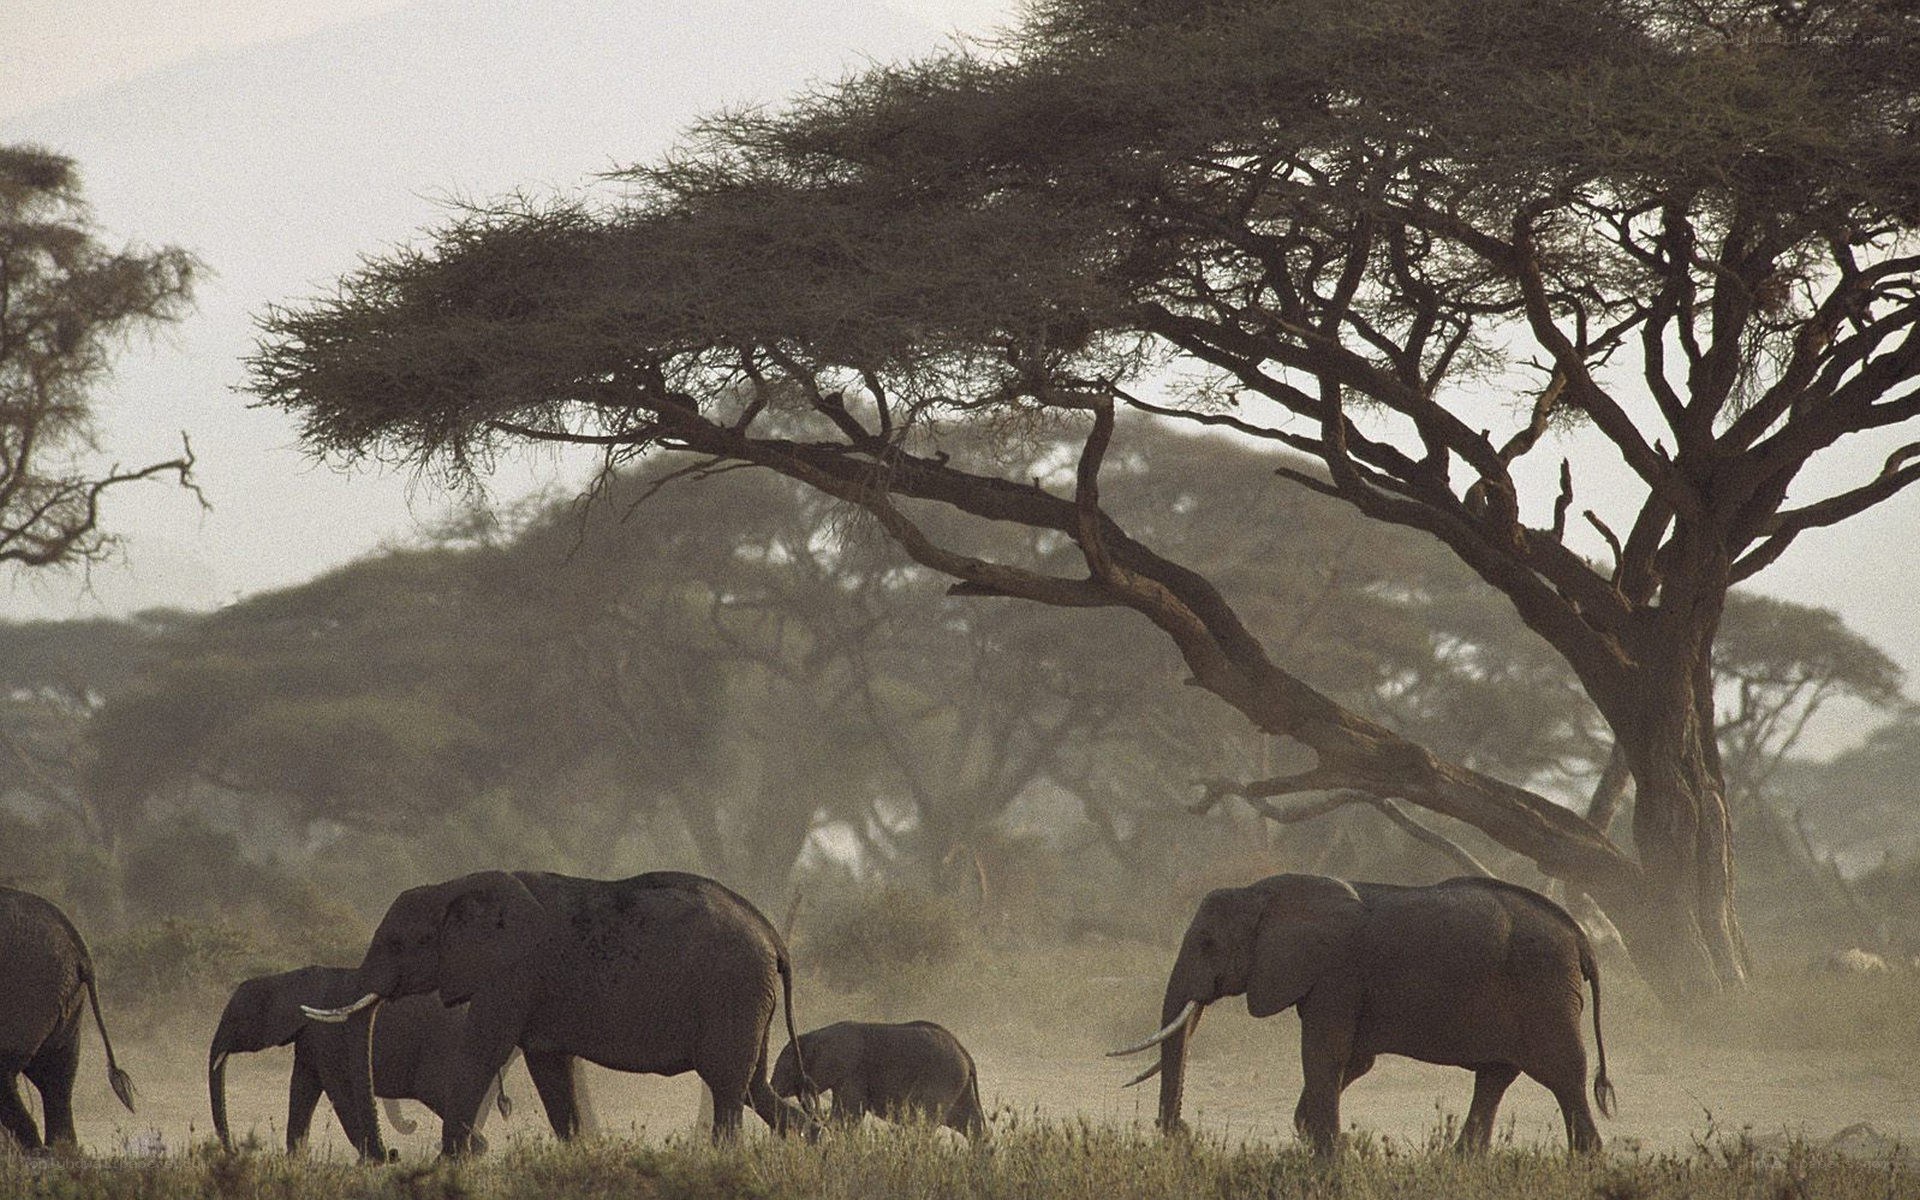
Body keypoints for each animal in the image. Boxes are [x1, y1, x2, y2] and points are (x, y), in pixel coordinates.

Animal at [209, 966, 517, 1157]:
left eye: (236, 1019)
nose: (235, 1150)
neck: (286, 978)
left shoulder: (325, 1034)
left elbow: (336, 1089)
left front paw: (370, 1162)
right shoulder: (310, 1040)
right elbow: (303, 1089)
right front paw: (296, 1162)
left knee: (441, 1095)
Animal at [302, 869, 812, 1154]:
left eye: (396, 943)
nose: (389, 1157)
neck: (456, 887)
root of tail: (773, 935)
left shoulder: (512, 973)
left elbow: (481, 1055)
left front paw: (448, 1165)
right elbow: (549, 1067)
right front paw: (579, 1154)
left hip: (733, 989)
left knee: (728, 1084)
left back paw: (725, 1160)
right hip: (749, 997)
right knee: (752, 1085)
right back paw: (817, 1143)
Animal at [771, 1020, 986, 1139]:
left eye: (785, 1068)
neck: (814, 1036)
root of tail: (966, 1055)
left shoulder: (852, 1072)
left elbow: (847, 1116)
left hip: (943, 1078)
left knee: (924, 1123)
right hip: (959, 1085)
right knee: (971, 1124)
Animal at [1110, 874, 1616, 1155]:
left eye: (1207, 943)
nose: (1182, 1134)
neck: (1261, 893)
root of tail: (1580, 936)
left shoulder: (1336, 973)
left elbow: (1324, 1055)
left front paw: (1331, 1158)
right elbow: (1352, 1061)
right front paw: (1331, 1144)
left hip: (1544, 991)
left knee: (1562, 1075)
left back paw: (1585, 1163)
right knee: (1494, 1077)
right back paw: (1460, 1163)